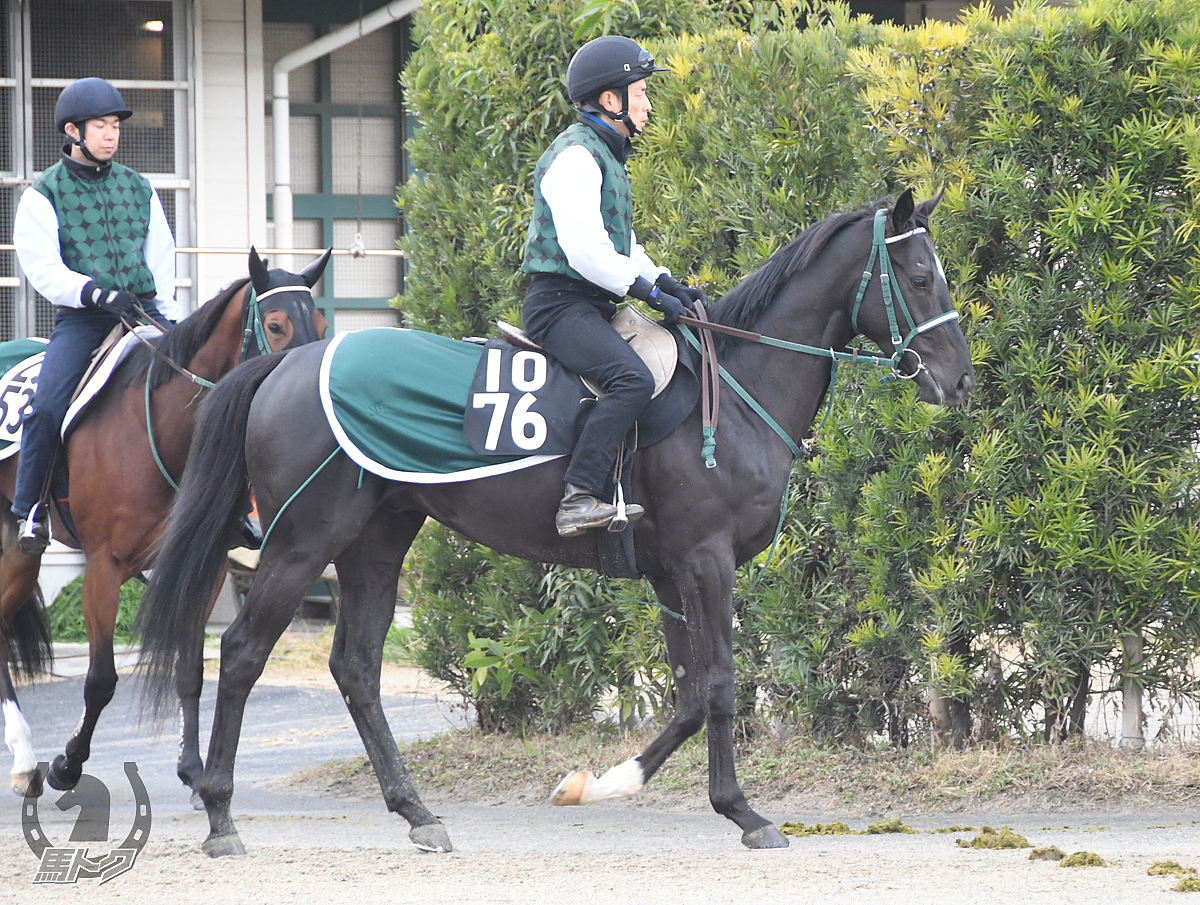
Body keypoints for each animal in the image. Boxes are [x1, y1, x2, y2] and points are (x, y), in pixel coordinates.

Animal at [0, 247, 328, 796]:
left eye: (322, 322)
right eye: (276, 325)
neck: (157, 426)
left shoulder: (206, 564)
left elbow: (190, 670)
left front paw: (191, 767)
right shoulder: (105, 567)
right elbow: (100, 679)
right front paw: (68, 764)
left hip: (18, 559)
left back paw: (25, 762)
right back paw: (28, 761)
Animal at [136, 187, 974, 849]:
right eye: (920, 275)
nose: (960, 379)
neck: (734, 386)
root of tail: (285, 362)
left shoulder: (670, 571)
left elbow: (687, 692)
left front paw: (600, 782)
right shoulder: (705, 560)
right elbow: (720, 684)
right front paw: (744, 811)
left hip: (377, 540)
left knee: (356, 668)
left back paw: (416, 812)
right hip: (302, 541)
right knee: (242, 652)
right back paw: (220, 814)